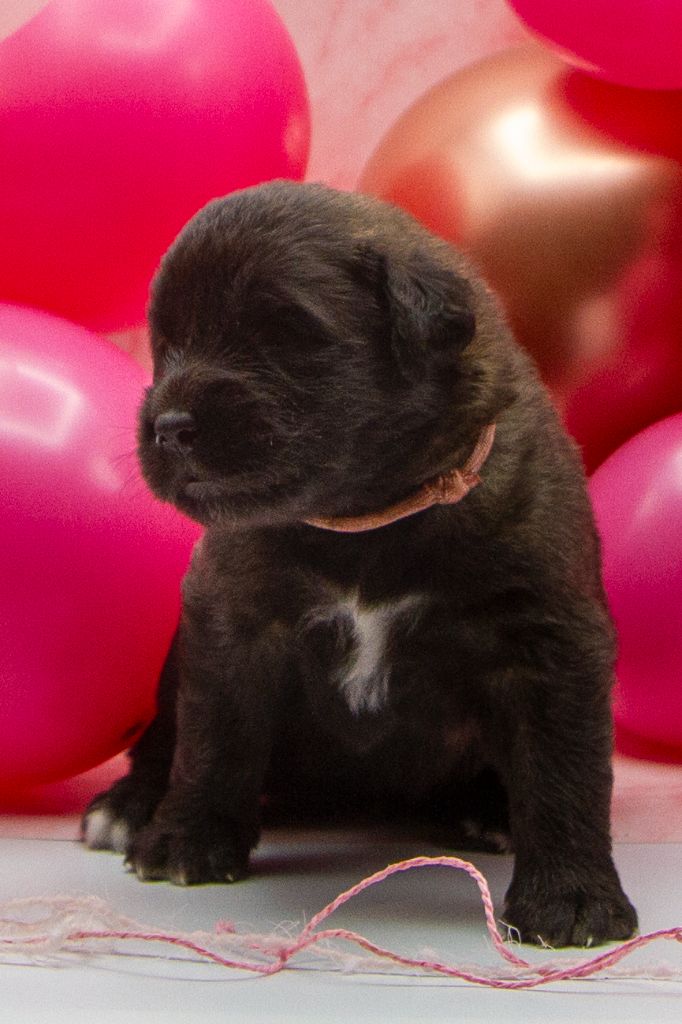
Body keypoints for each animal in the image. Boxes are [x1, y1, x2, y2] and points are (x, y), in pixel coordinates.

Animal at [82, 180, 637, 947]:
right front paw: (187, 839)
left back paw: (491, 810)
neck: (364, 521)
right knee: (164, 731)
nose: (168, 426)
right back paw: (131, 803)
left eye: (285, 334)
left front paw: (573, 898)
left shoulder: (548, 637)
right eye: (165, 345)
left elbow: (566, 769)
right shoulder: (231, 623)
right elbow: (212, 737)